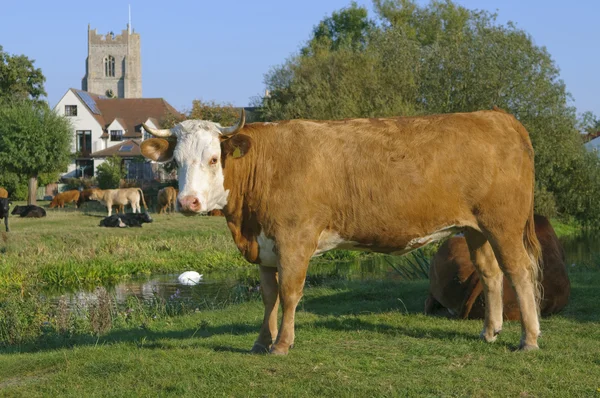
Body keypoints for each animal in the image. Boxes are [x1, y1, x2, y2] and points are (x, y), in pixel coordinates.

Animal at [142, 107, 544, 352]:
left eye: (213, 159)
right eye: (176, 162)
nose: (188, 202)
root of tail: (496, 116)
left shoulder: (294, 241)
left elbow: (290, 294)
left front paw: (282, 344)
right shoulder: (266, 247)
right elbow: (269, 297)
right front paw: (260, 342)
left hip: (503, 224)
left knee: (519, 272)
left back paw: (529, 339)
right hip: (475, 229)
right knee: (490, 273)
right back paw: (490, 331)